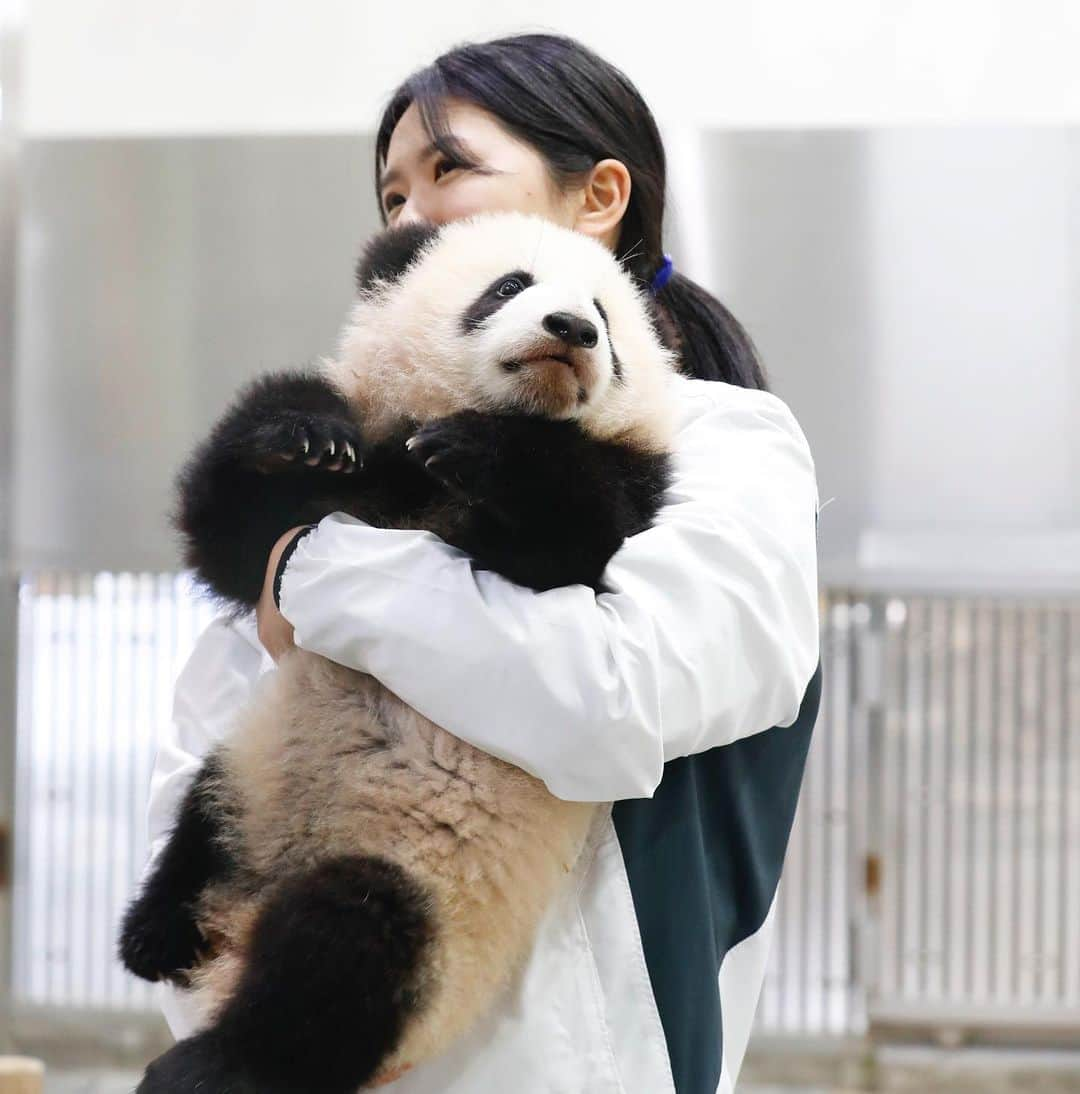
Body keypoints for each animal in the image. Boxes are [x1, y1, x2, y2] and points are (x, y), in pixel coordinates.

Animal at [115, 208, 674, 1089]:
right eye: (508, 287)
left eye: (606, 320)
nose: (571, 330)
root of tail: (246, 914)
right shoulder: (362, 463)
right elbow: (233, 535)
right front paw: (300, 429)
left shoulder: (630, 482)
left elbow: (564, 551)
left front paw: (491, 452)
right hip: (251, 767)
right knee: (202, 813)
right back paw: (155, 932)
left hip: (426, 895)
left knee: (346, 950)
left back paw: (214, 1061)